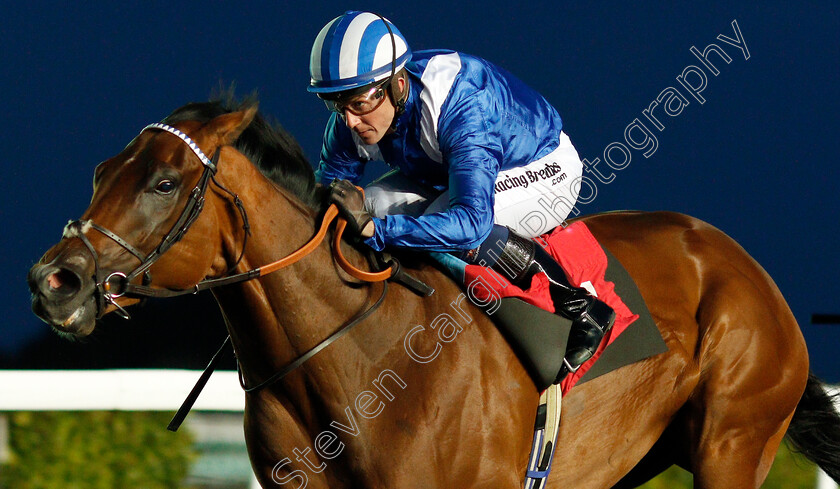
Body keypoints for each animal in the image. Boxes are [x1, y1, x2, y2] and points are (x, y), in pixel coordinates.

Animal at [26, 97, 840, 486]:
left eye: (164, 183)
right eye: (102, 172)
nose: (53, 281)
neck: (355, 359)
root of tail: (744, 266)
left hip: (732, 442)